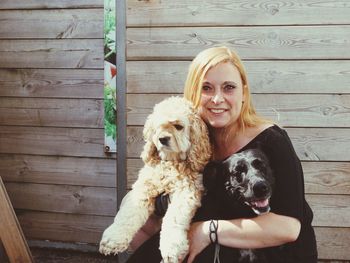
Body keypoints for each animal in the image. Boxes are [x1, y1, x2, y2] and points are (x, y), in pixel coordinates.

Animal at [100, 97, 212, 263]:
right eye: (158, 127)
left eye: (178, 126)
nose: (162, 139)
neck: (170, 163)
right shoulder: (143, 188)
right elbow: (128, 214)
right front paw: (113, 240)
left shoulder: (187, 191)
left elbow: (174, 217)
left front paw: (172, 248)